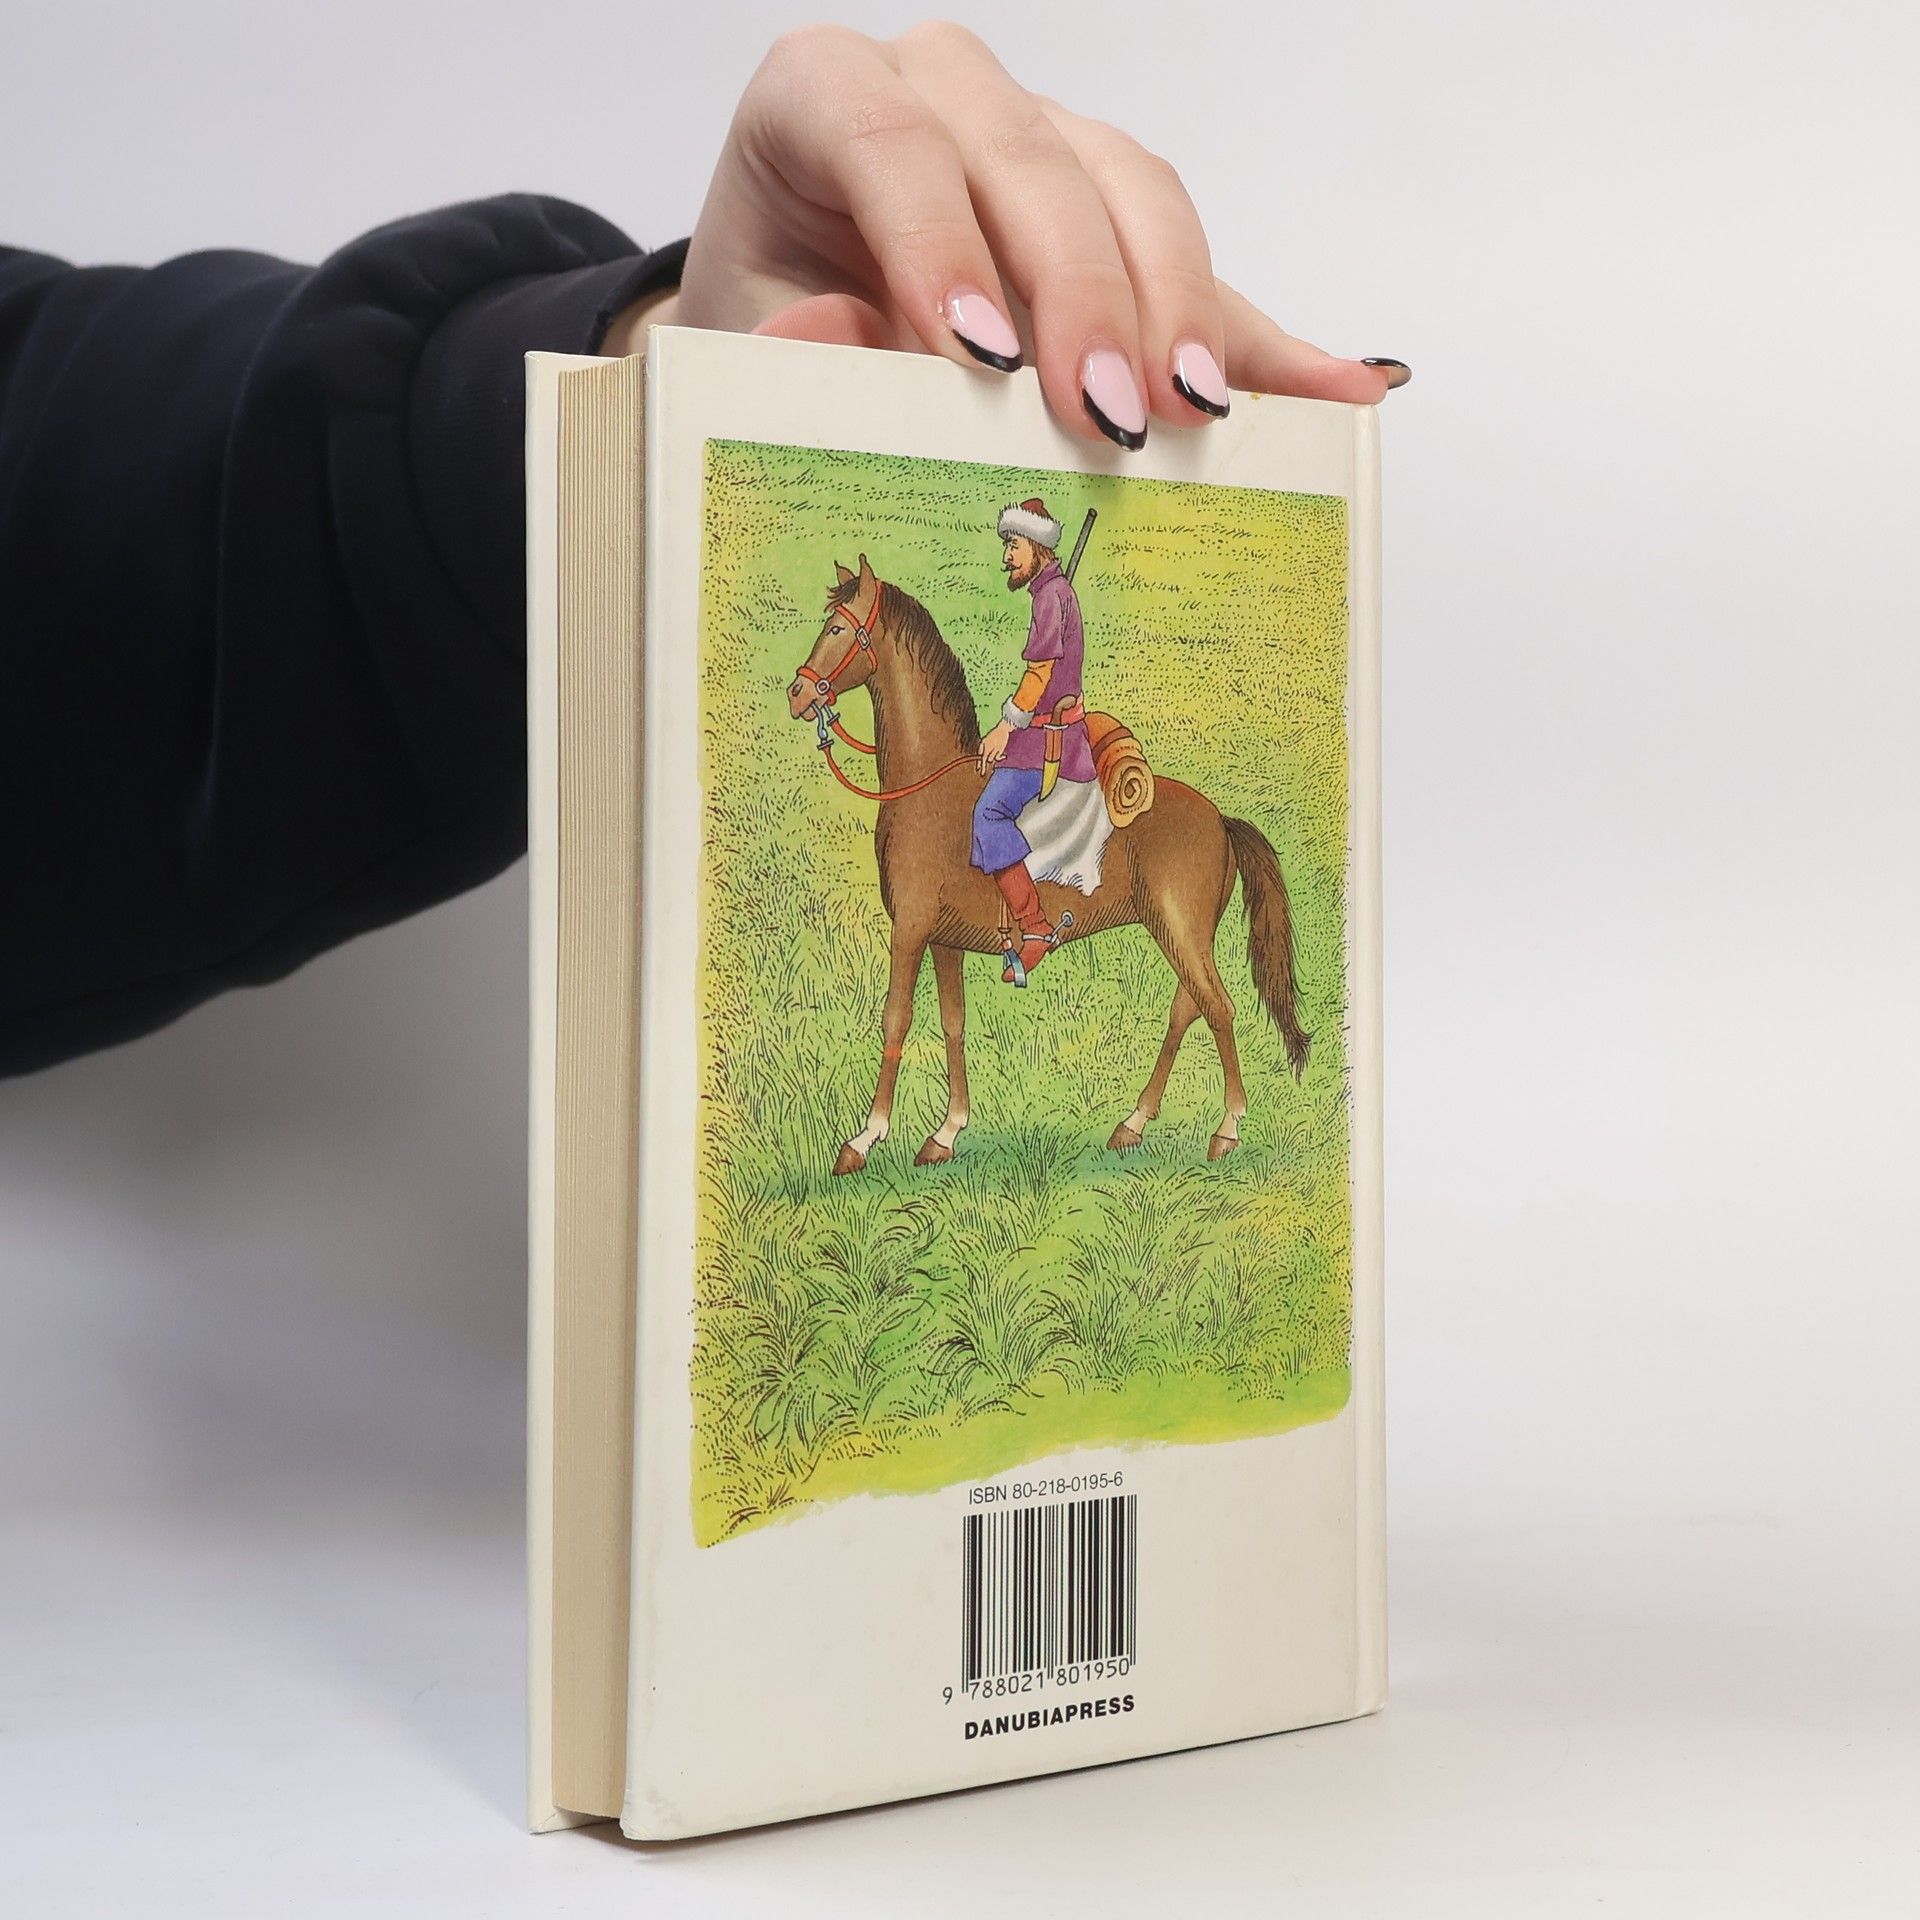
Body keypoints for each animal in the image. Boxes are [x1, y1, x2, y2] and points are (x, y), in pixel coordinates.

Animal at [787, 554, 1312, 1176]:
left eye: (836, 629)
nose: (796, 692)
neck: (928, 788)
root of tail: (1220, 819)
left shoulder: (910, 932)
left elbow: (896, 1019)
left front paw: (865, 1139)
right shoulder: (942, 941)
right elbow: (953, 1024)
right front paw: (947, 1132)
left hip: (1179, 931)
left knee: (1219, 1009)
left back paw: (1226, 1129)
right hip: (1182, 934)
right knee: (1189, 1008)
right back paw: (1132, 1124)